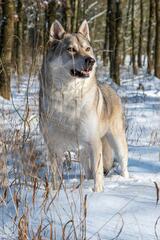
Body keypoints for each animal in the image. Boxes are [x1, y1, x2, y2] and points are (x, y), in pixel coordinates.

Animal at [39, 19, 129, 192]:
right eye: (71, 49)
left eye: (87, 49)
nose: (91, 60)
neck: (68, 96)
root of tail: (110, 87)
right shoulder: (54, 148)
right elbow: (55, 178)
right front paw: (55, 193)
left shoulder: (94, 143)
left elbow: (99, 176)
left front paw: (98, 193)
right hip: (83, 151)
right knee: (88, 171)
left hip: (116, 141)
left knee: (123, 164)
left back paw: (126, 180)